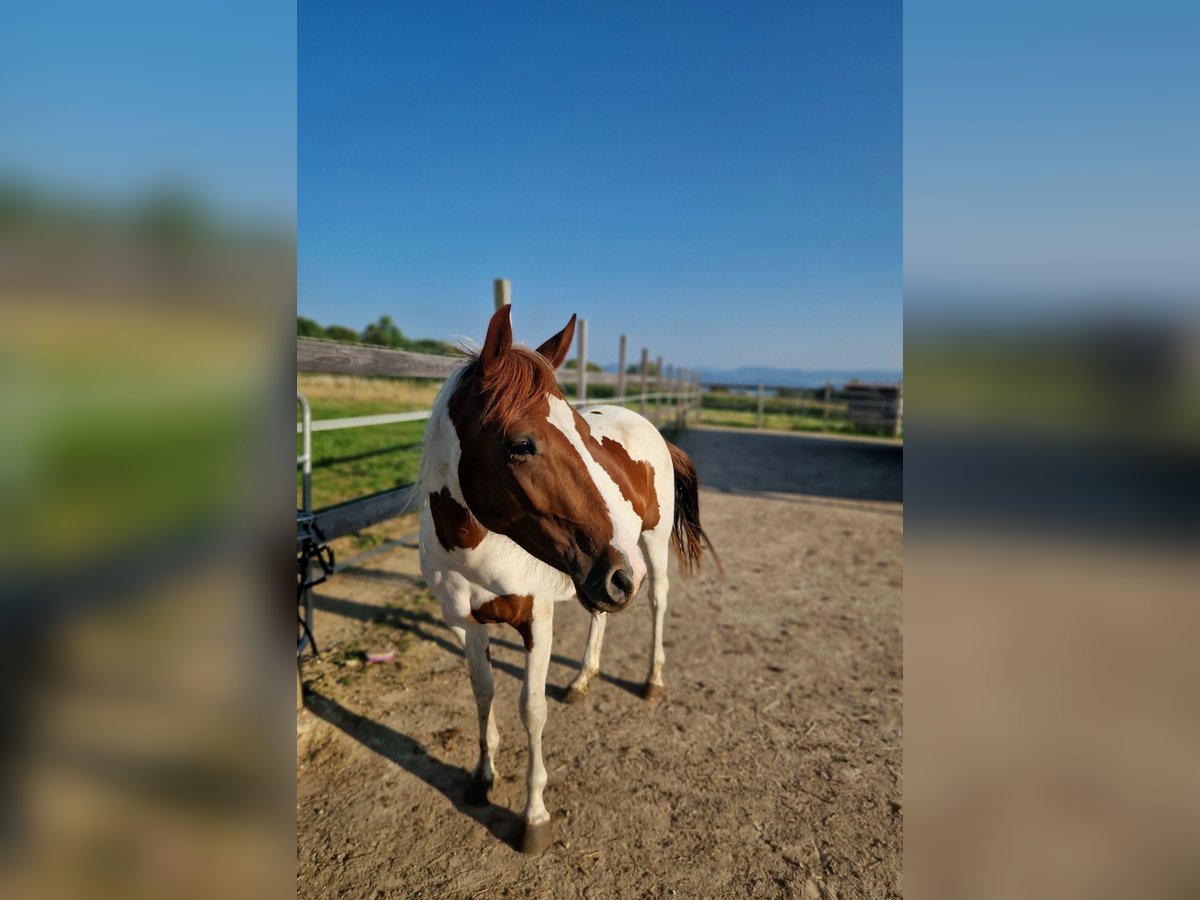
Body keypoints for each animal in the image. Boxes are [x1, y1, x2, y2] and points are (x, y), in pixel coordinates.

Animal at [417, 304, 714, 853]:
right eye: (521, 443)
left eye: (580, 431)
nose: (621, 573)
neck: (474, 550)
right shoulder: (465, 625)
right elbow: (484, 693)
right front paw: (482, 777)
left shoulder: (537, 622)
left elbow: (531, 709)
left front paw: (533, 817)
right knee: (602, 614)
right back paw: (581, 680)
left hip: (647, 550)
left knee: (658, 603)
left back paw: (653, 680)